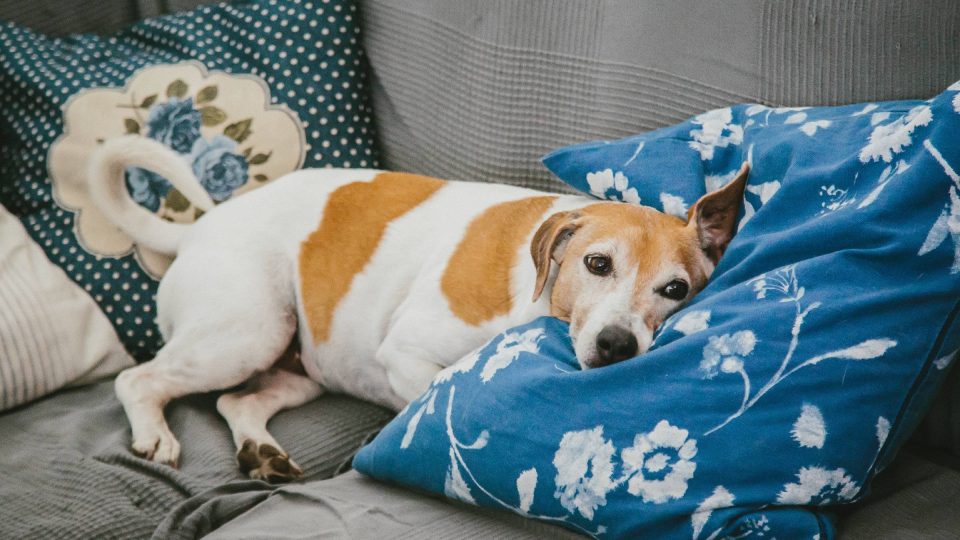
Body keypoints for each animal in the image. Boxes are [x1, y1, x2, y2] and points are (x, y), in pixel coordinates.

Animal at [90, 135, 748, 480]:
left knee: (237, 402)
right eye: (597, 264)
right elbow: (436, 387)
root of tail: (200, 227)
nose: (617, 346)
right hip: (249, 329)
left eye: (676, 290)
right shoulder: (406, 353)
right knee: (136, 380)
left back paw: (263, 452)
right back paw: (154, 435)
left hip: (297, 365)